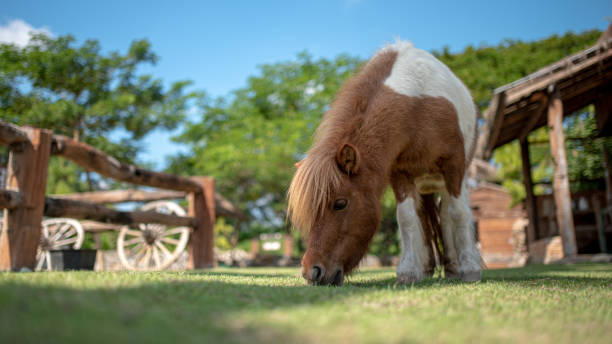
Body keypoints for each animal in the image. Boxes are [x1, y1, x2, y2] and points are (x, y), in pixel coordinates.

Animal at [288, 41, 482, 286]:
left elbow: (458, 214)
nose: (312, 271)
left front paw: (470, 269)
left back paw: (454, 266)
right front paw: (408, 271)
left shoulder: (453, 166)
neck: (418, 108)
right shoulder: (400, 174)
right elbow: (407, 219)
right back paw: (428, 268)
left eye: (340, 203)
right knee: (424, 219)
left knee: (448, 213)